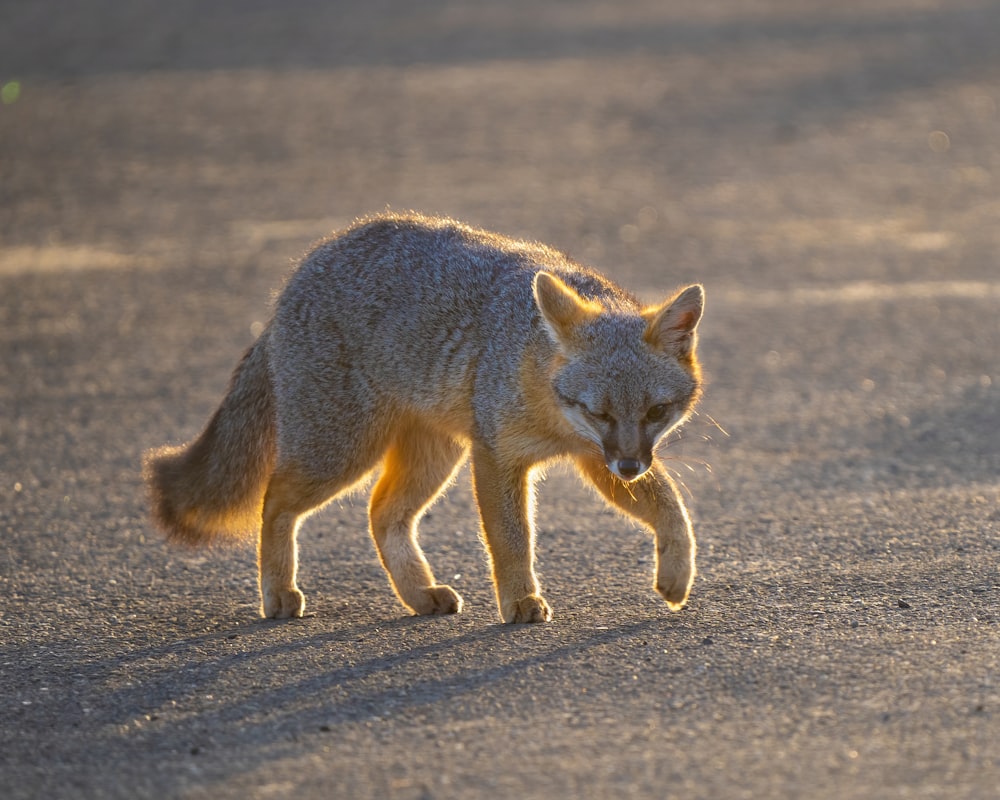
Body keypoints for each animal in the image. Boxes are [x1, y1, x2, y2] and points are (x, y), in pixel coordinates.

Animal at [145, 212, 708, 624]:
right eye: (598, 410)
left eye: (656, 411)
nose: (630, 468)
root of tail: (293, 281)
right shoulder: (498, 455)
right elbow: (511, 539)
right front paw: (520, 600)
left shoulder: (596, 457)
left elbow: (672, 508)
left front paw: (677, 575)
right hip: (341, 453)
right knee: (275, 499)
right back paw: (278, 591)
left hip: (432, 457)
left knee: (380, 513)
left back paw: (417, 594)